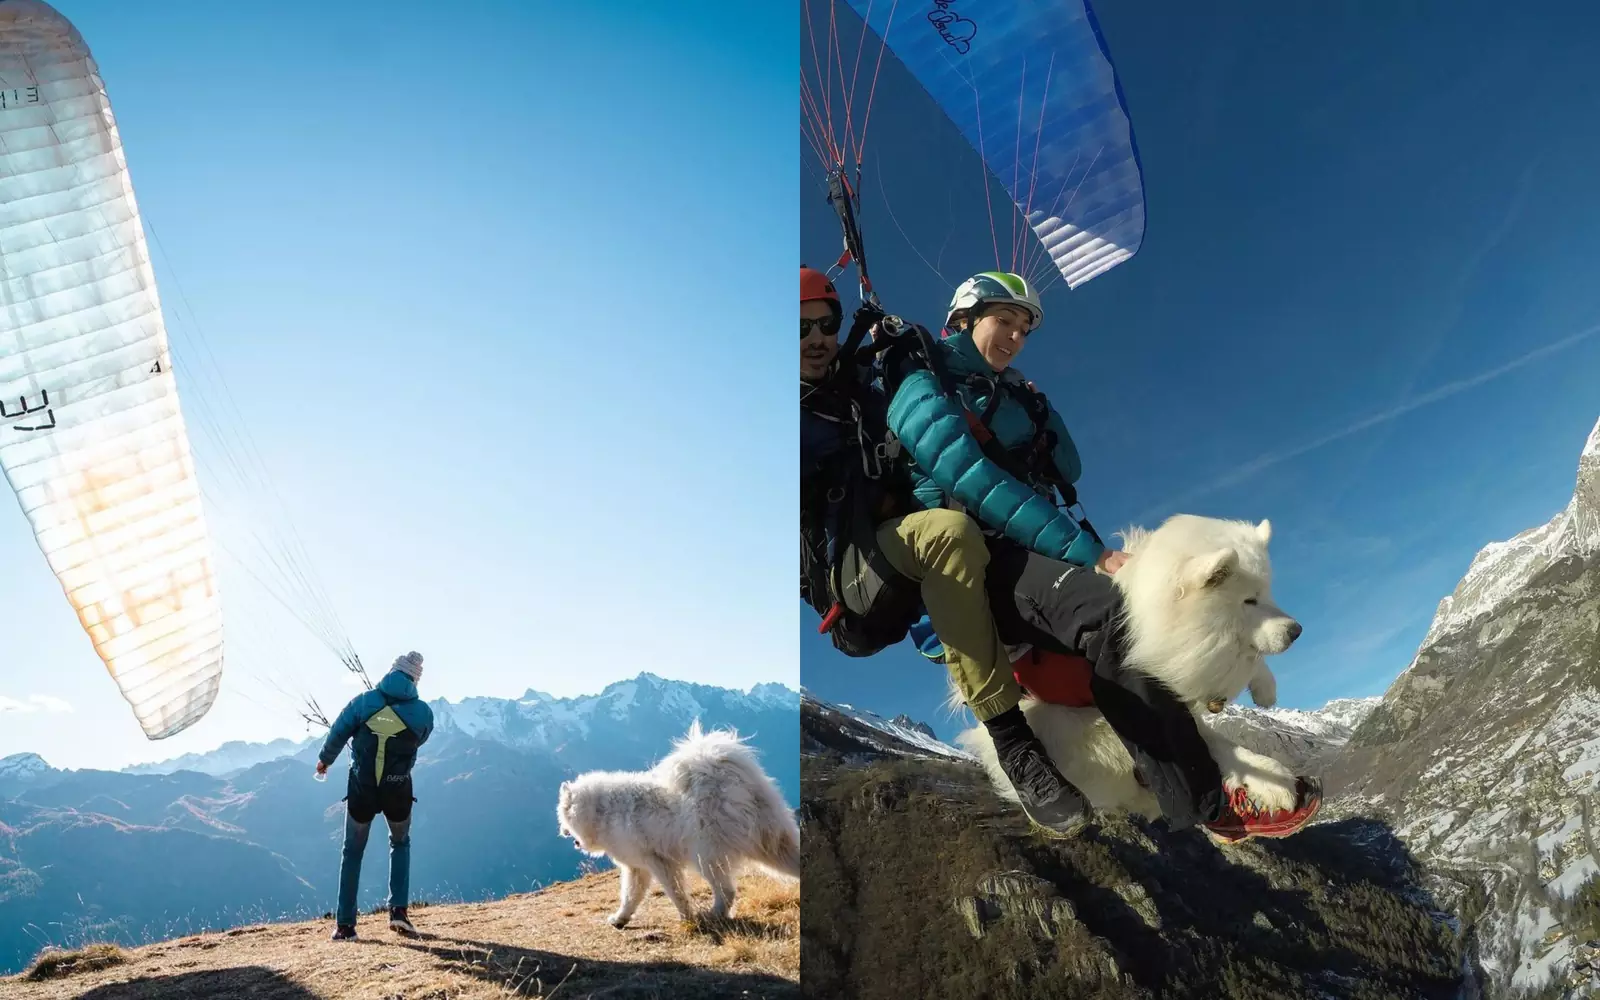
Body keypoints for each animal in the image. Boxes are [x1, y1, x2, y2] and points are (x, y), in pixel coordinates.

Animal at [556, 716, 800, 928]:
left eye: (562, 815)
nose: (562, 832)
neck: (603, 810)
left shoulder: (659, 862)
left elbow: (676, 894)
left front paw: (687, 918)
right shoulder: (636, 868)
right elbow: (630, 897)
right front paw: (620, 919)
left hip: (706, 858)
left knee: (727, 891)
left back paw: (713, 914)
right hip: (772, 845)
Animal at [953, 515, 1305, 819]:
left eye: (1269, 593)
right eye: (1249, 600)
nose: (1296, 631)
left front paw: (1264, 687)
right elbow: (1209, 742)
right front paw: (1272, 780)